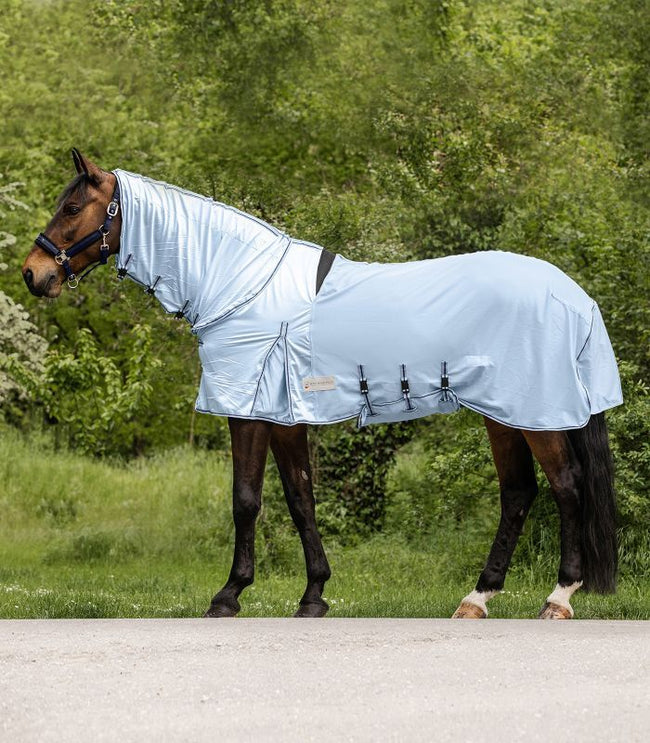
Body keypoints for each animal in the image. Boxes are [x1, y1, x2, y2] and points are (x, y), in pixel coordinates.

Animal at [21, 150, 616, 616]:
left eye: (72, 207)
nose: (32, 273)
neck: (239, 282)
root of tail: (573, 294)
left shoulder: (249, 412)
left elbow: (247, 499)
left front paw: (228, 595)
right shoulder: (284, 419)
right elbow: (300, 497)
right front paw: (313, 595)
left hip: (535, 414)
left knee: (566, 487)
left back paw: (558, 598)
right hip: (506, 415)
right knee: (518, 493)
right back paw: (477, 598)